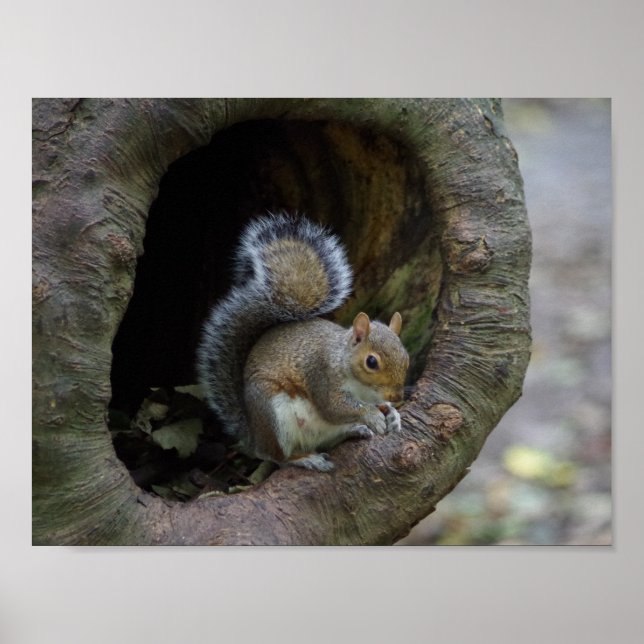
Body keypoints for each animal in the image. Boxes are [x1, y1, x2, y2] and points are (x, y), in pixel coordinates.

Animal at [196, 212, 409, 472]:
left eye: (406, 357)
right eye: (371, 362)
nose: (397, 397)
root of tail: (254, 435)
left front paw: (392, 414)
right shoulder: (322, 375)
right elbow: (335, 407)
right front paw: (372, 415)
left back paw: (354, 430)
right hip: (274, 415)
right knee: (276, 456)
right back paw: (307, 459)